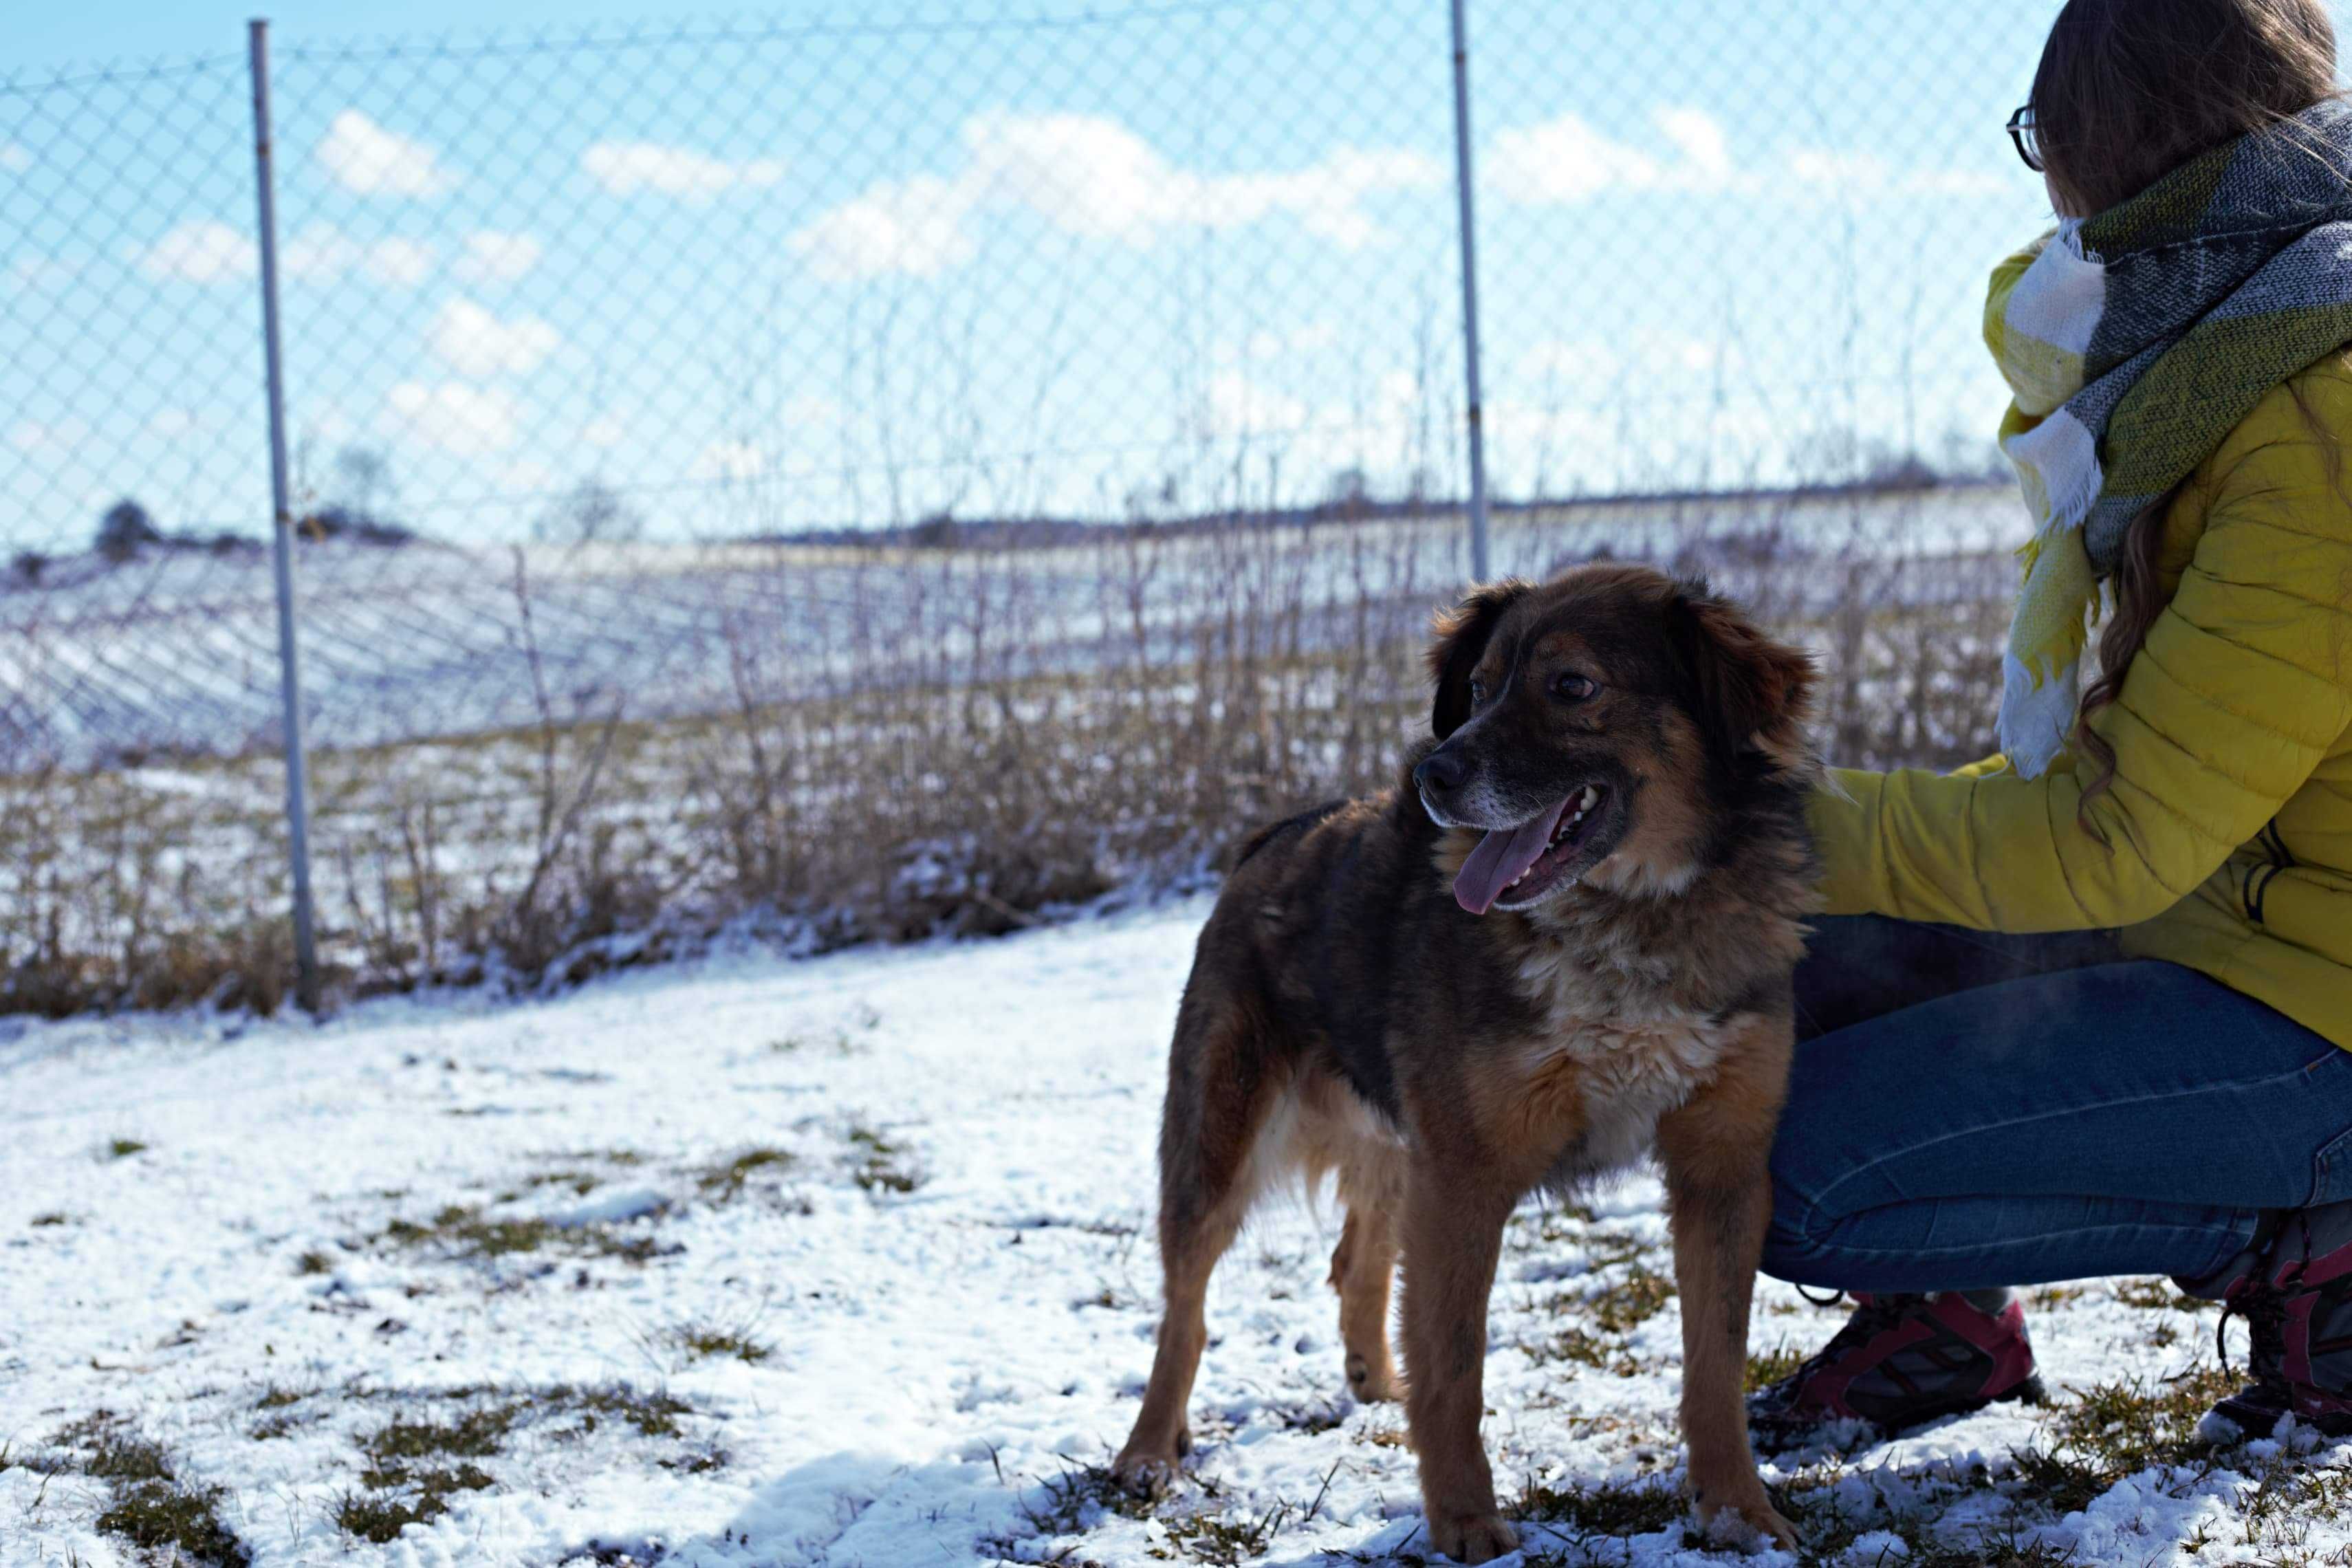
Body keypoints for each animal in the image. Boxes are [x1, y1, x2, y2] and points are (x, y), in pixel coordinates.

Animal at [1110, 564, 1806, 1560]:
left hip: (1401, 1144)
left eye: (1572, 687)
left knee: (1355, 1262)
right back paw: (1148, 1452)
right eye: (1476, 690)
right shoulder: (1467, 1174)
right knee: (1186, 1309)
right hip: (1221, 1135)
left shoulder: (1723, 1165)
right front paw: (1467, 1523)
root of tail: (1276, 833)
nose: (1431, 776)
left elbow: (1716, 1363)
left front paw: (1736, 1509)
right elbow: (1456, 1364)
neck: (1629, 918)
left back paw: (1375, 1387)